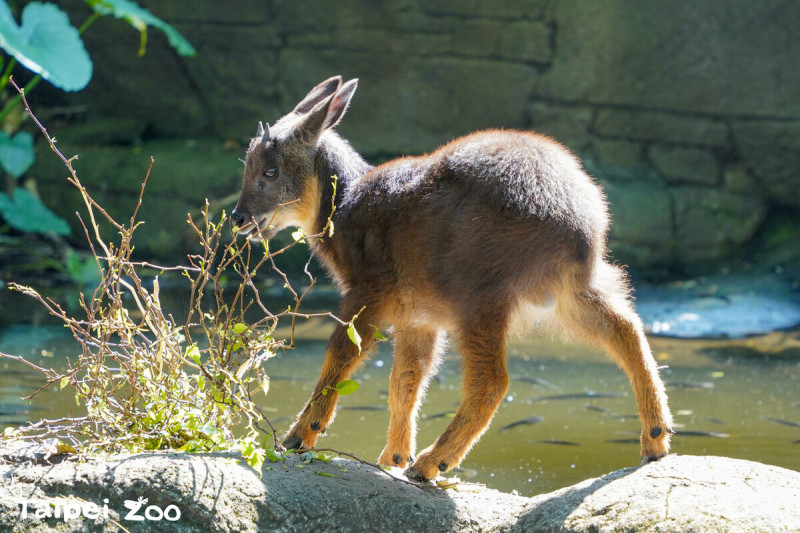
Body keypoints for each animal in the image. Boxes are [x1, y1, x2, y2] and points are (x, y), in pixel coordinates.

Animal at [230, 76, 668, 482]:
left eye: (271, 170)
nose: (238, 218)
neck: (343, 207)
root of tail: (577, 217)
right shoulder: (419, 318)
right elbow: (405, 380)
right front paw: (391, 457)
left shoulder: (368, 291)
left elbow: (343, 354)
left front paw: (300, 436)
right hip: (574, 290)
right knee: (627, 330)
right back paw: (655, 440)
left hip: (481, 296)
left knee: (492, 381)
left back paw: (430, 464)